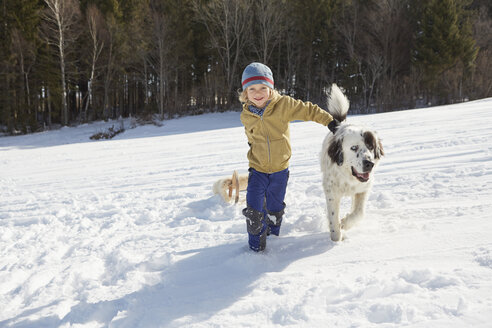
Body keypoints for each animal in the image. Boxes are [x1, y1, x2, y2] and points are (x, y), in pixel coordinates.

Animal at [320, 85, 384, 241]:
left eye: (370, 146)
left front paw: (345, 223)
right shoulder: (332, 192)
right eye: (354, 148)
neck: (348, 178)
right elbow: (333, 217)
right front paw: (336, 238)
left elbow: (359, 212)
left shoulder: (363, 189)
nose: (369, 164)